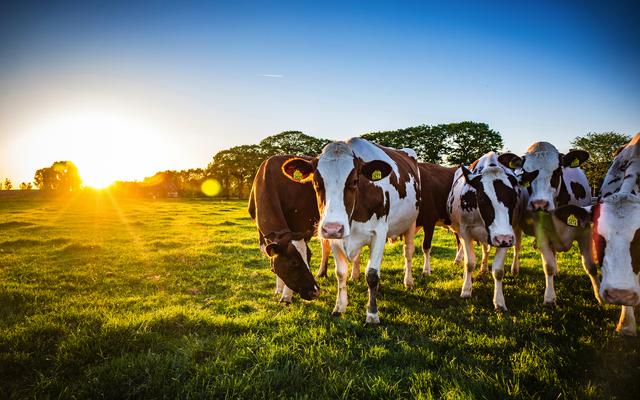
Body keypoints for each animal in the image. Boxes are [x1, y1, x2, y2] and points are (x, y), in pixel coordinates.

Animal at [248, 155, 330, 303]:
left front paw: (286, 297)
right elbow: (273, 258)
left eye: (309, 257)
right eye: (293, 262)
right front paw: (278, 290)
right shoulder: (263, 236)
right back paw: (321, 274)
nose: (315, 292)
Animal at [281, 138, 421, 323]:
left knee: (408, 251)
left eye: (355, 181)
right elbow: (341, 272)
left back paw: (409, 281)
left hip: (411, 222)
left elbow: (372, 274)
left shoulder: (379, 232)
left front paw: (372, 314)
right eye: (316, 182)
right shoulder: (335, 238)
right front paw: (339, 307)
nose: (333, 227)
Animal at [446, 152, 522, 311]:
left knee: (490, 250)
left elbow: (498, 271)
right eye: (482, 198)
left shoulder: (506, 235)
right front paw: (466, 290)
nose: (503, 239)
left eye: (513, 197)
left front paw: (499, 302)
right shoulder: (465, 231)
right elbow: (469, 263)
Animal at [498, 142, 601, 307]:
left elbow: (590, 265)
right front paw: (549, 298)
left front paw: (599, 295)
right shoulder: (541, 233)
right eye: (526, 172)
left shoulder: (585, 230)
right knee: (517, 246)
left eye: (558, 170)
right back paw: (515, 269)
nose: (539, 204)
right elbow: (549, 265)